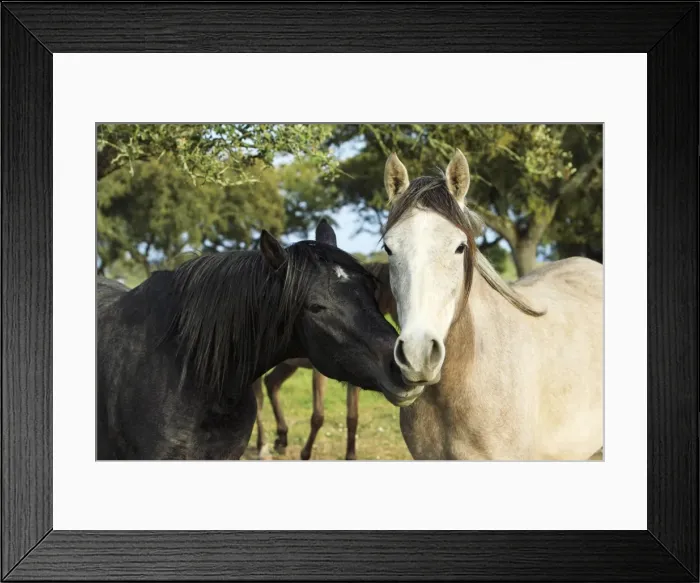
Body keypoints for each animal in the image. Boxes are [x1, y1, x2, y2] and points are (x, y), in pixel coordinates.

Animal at [253, 261, 397, 460]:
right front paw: (305, 453)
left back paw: (281, 440)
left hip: (288, 364)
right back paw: (262, 447)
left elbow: (353, 417)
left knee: (272, 383)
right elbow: (318, 416)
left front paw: (350, 456)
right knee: (258, 399)